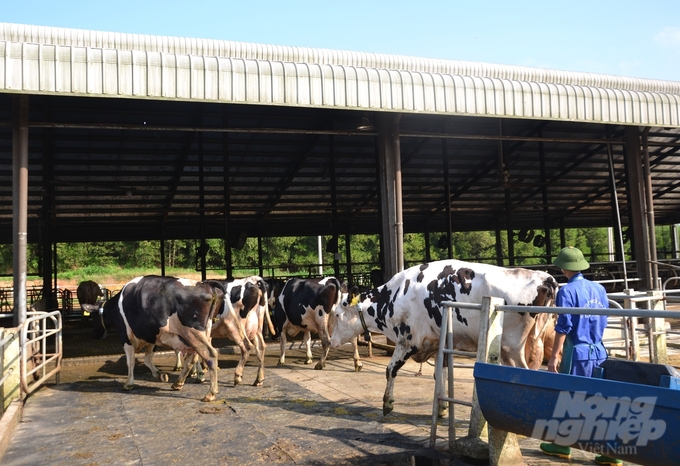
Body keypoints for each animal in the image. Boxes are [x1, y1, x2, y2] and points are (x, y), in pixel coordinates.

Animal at [87, 274, 223, 402]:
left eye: (93, 316)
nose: (93, 335)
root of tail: (206, 285)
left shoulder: (126, 337)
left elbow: (130, 361)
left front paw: (129, 383)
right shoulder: (151, 338)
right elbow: (147, 359)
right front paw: (160, 375)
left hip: (192, 332)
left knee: (209, 354)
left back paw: (210, 393)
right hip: (199, 333)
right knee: (192, 358)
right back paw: (178, 383)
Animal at [330, 258, 556, 416]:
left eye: (337, 314)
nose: (331, 341)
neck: (397, 295)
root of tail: (546, 278)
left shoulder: (408, 341)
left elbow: (390, 370)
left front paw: (387, 403)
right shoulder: (441, 342)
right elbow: (440, 374)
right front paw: (442, 408)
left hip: (510, 347)